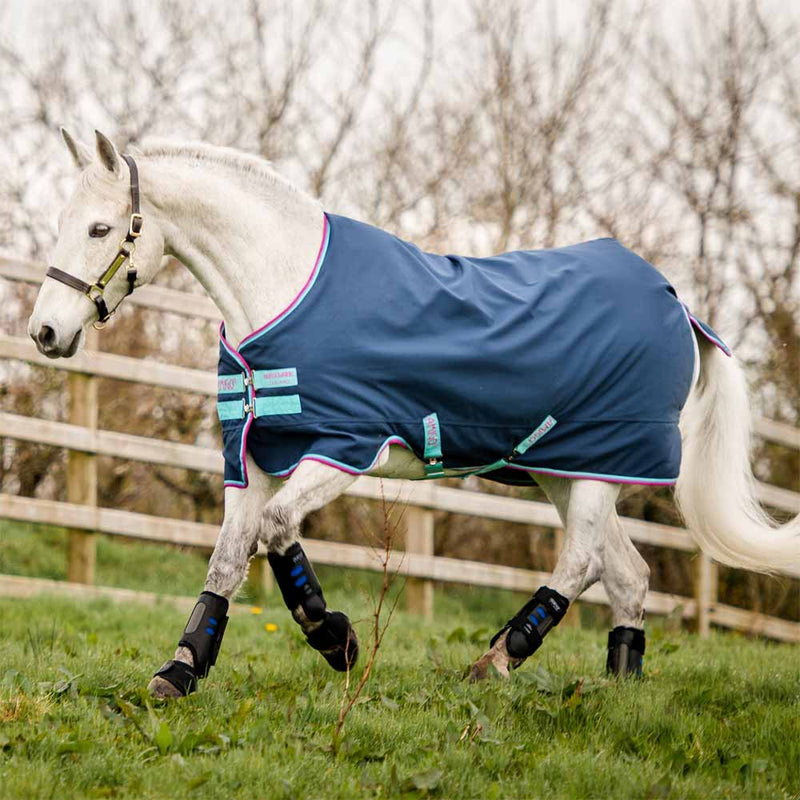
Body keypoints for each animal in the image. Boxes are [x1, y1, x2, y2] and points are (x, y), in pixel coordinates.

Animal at [27, 129, 800, 698]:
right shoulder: (249, 457)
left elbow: (275, 534)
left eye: (100, 228)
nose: (45, 333)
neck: (282, 289)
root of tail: (679, 304)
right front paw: (180, 671)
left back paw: (495, 661)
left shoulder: (343, 448)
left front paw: (337, 640)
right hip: (568, 470)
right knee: (629, 576)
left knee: (580, 562)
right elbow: (225, 562)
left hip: (601, 467)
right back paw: (619, 689)